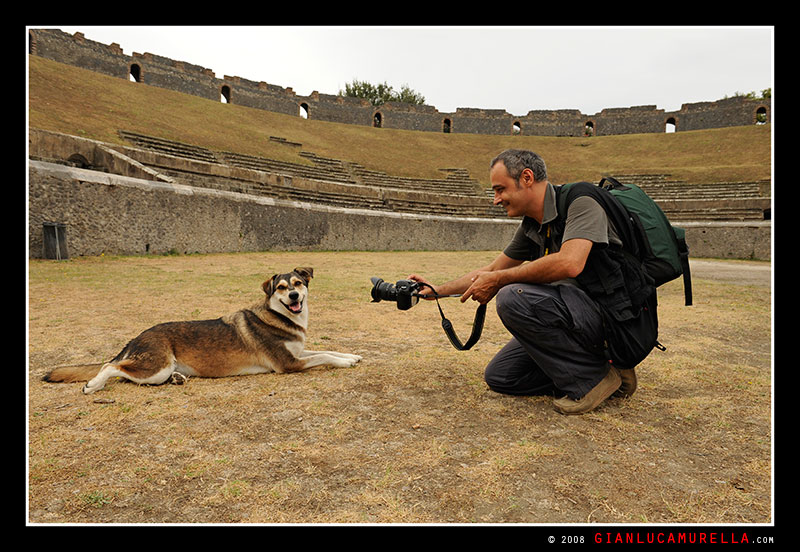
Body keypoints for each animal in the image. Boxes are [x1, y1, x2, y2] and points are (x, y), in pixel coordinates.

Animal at [40, 266, 360, 392]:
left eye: (298, 283)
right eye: (280, 288)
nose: (294, 297)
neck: (278, 316)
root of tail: (137, 336)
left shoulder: (298, 352)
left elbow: (327, 349)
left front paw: (352, 356)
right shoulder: (289, 363)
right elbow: (324, 356)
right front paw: (346, 362)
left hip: (158, 372)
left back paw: (178, 379)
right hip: (155, 367)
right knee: (110, 367)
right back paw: (93, 385)